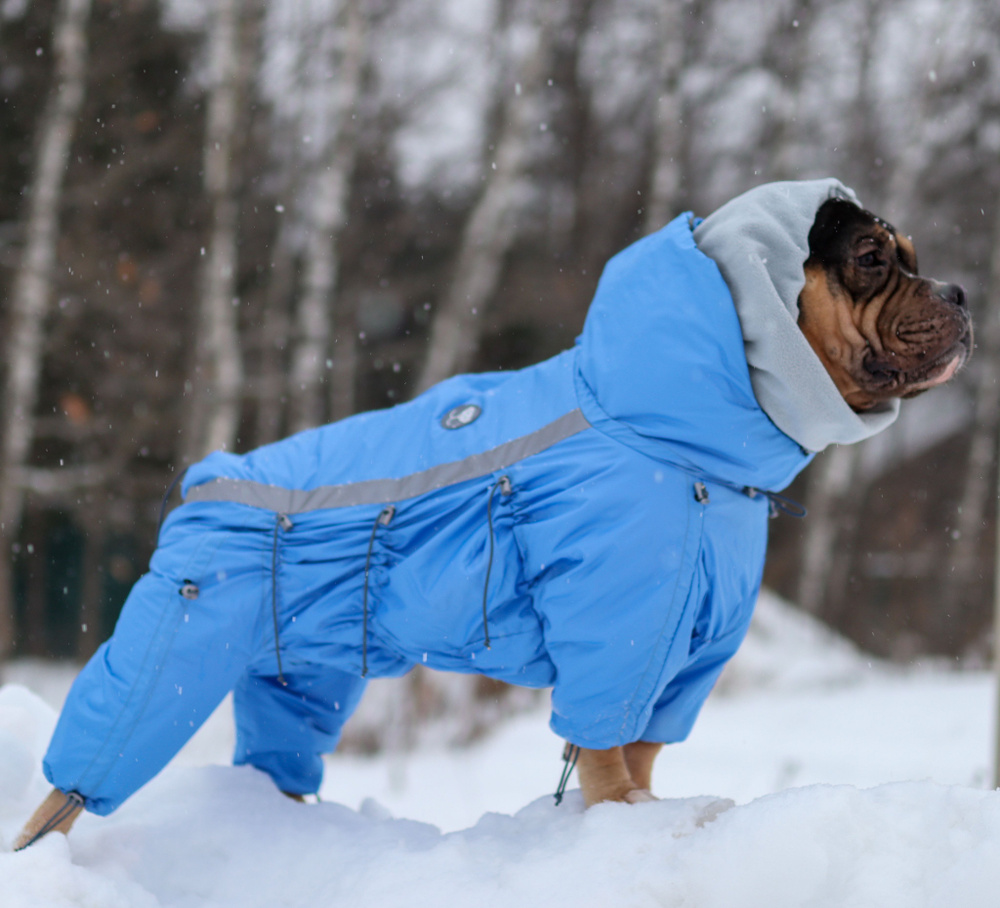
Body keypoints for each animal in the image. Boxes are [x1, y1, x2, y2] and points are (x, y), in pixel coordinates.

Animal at [15, 179, 968, 852]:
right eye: (873, 256)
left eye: (914, 253)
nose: (960, 291)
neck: (684, 441)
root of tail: (209, 481)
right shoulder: (616, 635)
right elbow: (609, 751)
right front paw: (623, 824)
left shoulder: (687, 661)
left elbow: (648, 749)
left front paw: (650, 813)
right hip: (177, 646)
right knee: (76, 781)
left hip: (299, 668)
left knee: (277, 752)